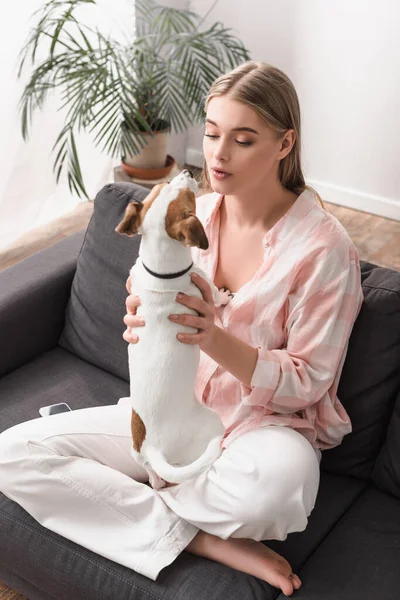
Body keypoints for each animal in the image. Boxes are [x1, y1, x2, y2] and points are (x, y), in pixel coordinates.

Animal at [114, 169, 230, 488]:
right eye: (188, 196)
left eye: (162, 185)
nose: (187, 171)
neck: (160, 271)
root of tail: (152, 446)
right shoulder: (203, 284)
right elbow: (215, 295)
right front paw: (225, 296)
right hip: (212, 422)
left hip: (138, 454)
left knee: (153, 474)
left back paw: (156, 481)